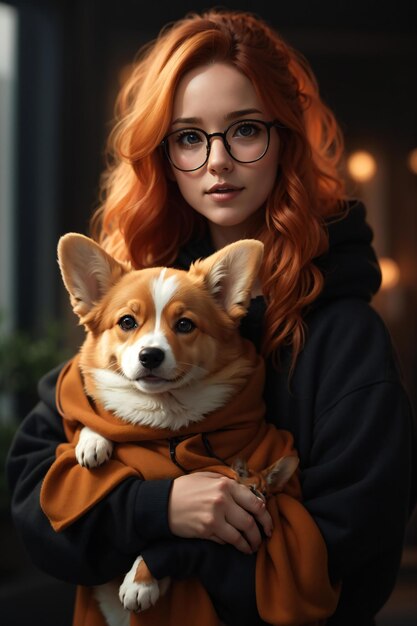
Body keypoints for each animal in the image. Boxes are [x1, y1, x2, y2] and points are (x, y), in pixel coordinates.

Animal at [57, 233, 298, 624]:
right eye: (127, 322)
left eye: (185, 325)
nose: (150, 355)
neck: (163, 416)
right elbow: (101, 411)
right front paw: (93, 440)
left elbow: (171, 536)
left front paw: (141, 582)